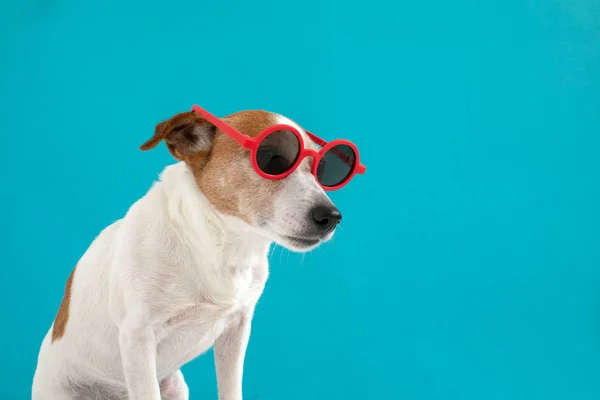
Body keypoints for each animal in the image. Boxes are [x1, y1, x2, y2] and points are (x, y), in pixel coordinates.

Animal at [31, 108, 342, 398]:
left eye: (322, 170)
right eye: (272, 158)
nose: (332, 217)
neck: (217, 245)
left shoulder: (237, 329)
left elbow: (231, 389)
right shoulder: (137, 338)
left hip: (177, 386)